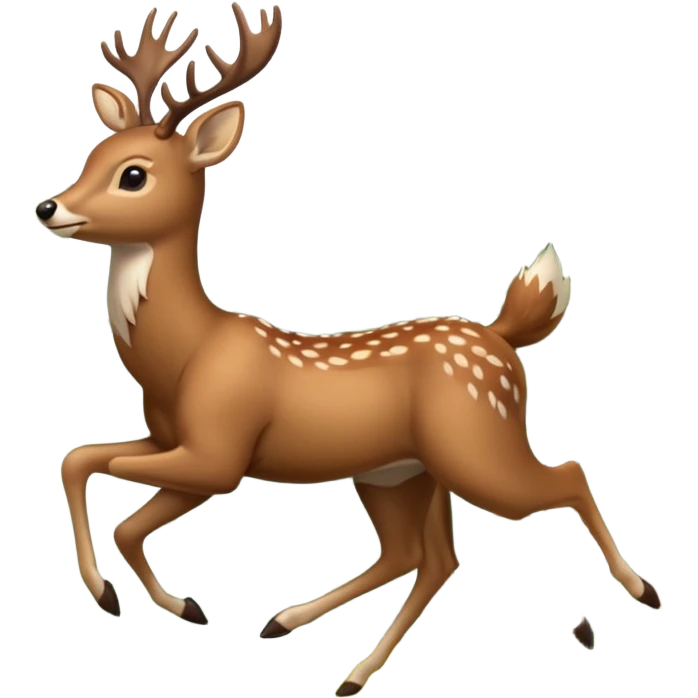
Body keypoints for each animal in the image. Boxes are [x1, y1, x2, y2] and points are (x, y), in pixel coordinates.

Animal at [37, 3, 662, 695]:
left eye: (134, 174)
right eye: (94, 153)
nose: (48, 206)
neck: (183, 358)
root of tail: (500, 338)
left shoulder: (217, 453)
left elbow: (118, 509)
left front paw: (153, 601)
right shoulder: (168, 440)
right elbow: (80, 461)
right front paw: (148, 601)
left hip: (477, 447)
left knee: (565, 477)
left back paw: (638, 596)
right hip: (401, 473)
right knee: (429, 556)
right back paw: (324, 651)